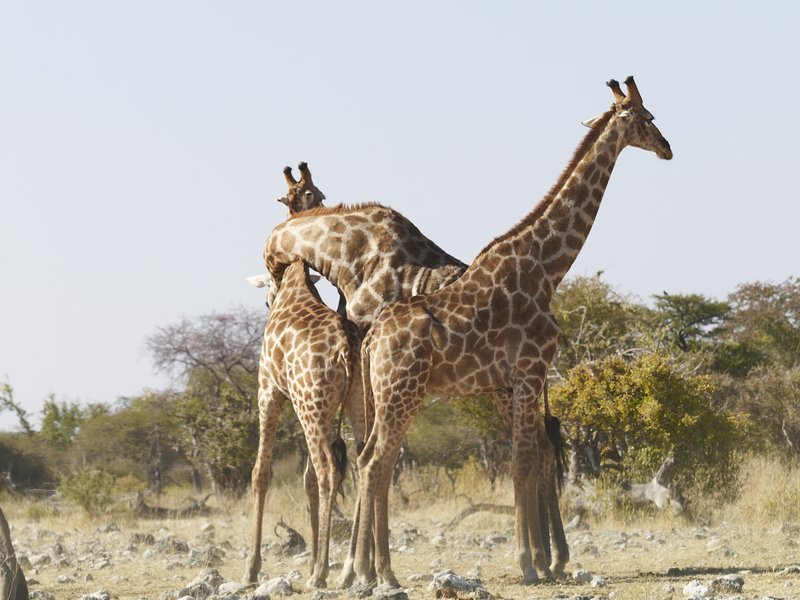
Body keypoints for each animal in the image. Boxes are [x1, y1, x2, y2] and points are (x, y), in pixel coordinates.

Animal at [244, 260, 364, 588]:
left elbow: (261, 472)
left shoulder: (268, 390)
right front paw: (309, 562)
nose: (267, 303)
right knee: (364, 465)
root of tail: (346, 350)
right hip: (351, 402)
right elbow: (306, 478)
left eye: (265, 300)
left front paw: (251, 570)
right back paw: (349, 570)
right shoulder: (300, 402)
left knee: (328, 471)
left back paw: (322, 573)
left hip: (313, 403)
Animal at [352, 77, 672, 587]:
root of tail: (371, 340)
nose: (668, 148)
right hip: (403, 392)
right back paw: (382, 573)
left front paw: (539, 560)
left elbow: (529, 460)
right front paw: (529, 563)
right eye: (648, 118)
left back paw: (370, 571)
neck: (547, 269)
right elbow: (524, 463)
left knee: (370, 462)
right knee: (375, 463)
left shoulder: (520, 379)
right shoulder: (528, 371)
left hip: (389, 395)